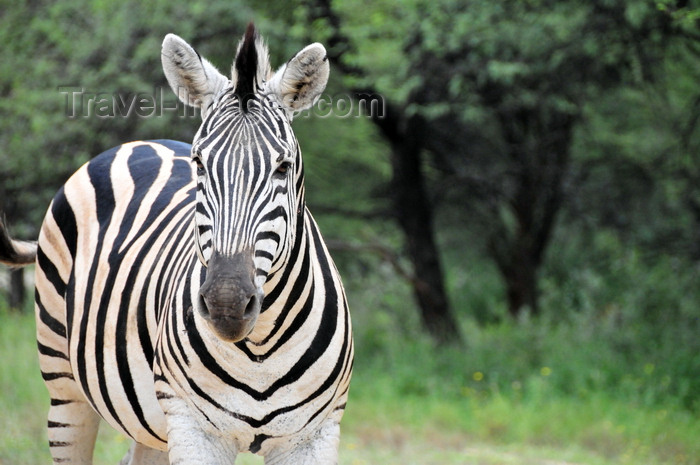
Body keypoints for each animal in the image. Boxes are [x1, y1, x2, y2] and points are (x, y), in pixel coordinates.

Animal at [0, 23, 352, 462]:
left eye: (283, 167)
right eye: (199, 164)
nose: (225, 303)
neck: (260, 349)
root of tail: (138, 143)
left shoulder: (312, 435)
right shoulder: (192, 425)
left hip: (150, 425)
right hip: (63, 384)